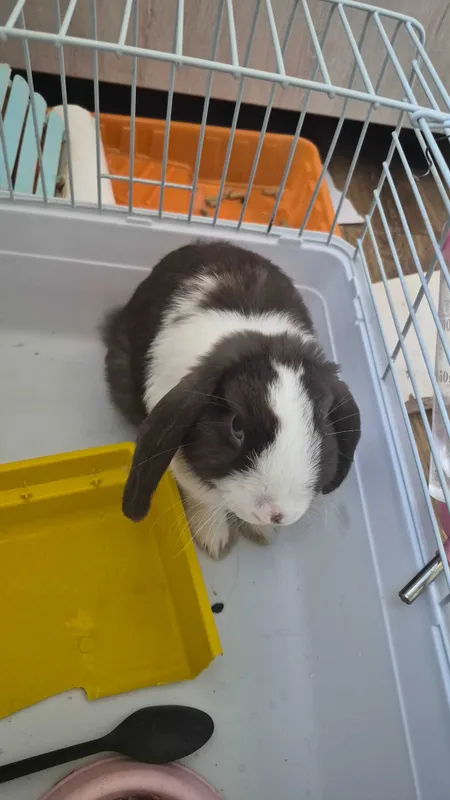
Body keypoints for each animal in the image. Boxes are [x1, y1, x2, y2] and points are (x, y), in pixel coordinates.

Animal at [102, 240, 360, 559]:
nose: (276, 514)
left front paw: (261, 531)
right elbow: (205, 497)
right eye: (236, 427)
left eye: (320, 424)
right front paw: (215, 540)